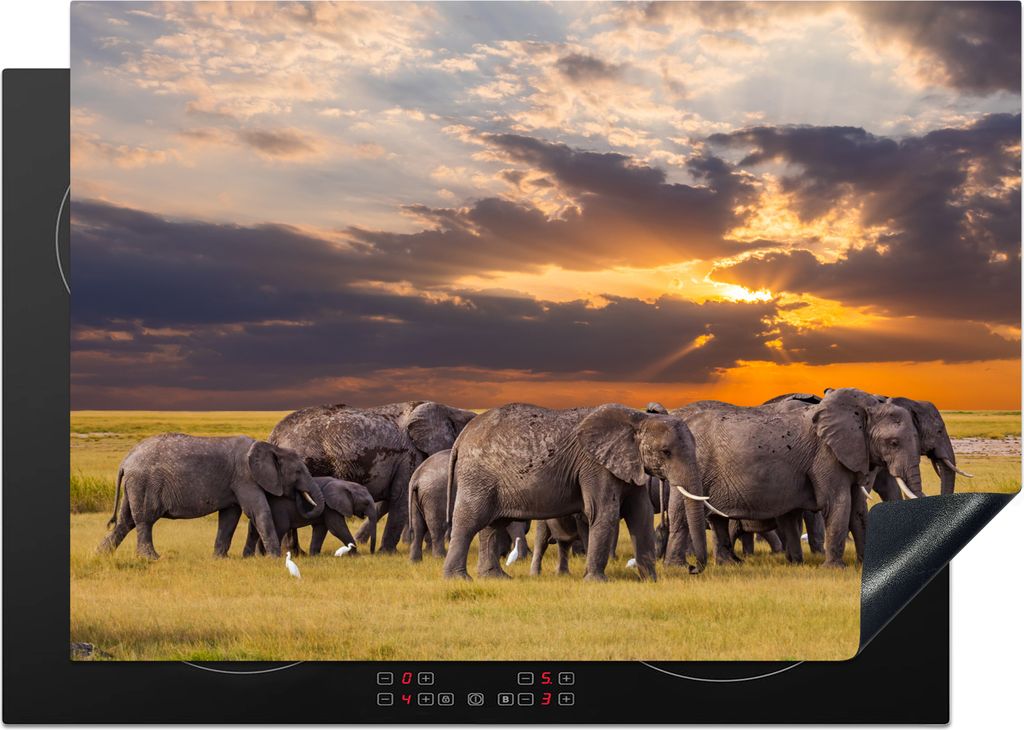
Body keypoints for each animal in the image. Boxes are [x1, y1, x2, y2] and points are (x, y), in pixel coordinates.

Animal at [97, 435, 324, 559]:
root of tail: (125, 461)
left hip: (134, 485)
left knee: (125, 522)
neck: (272, 447)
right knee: (144, 520)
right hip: (144, 483)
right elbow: (258, 511)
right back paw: (152, 558)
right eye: (298, 472)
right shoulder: (245, 477)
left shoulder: (234, 483)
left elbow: (230, 517)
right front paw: (275, 558)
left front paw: (220, 558)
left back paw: (100, 555)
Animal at [243, 477, 378, 557]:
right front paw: (356, 555)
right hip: (279, 510)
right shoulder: (330, 506)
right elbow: (336, 528)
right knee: (280, 528)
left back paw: (261, 556)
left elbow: (321, 529)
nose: (372, 553)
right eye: (366, 503)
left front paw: (314, 556)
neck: (345, 484)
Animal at [268, 401, 476, 553]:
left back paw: (296, 553)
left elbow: (385, 503)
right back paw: (295, 553)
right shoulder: (410, 455)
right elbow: (400, 499)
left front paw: (362, 542)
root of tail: (274, 435)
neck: (449, 409)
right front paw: (388, 553)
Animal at [442, 403, 716, 582]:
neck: (637, 419)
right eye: (666, 452)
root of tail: (462, 437)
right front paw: (596, 581)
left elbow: (641, 515)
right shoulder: (594, 464)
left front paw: (650, 580)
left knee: (493, 524)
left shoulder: (629, 464)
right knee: (470, 520)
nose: (693, 568)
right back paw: (458, 579)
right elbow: (604, 512)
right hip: (477, 475)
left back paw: (496, 578)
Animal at [670, 388, 923, 568]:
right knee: (685, 513)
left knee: (717, 519)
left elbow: (858, 509)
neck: (865, 407)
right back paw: (682, 567)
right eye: (893, 443)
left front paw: (865, 565)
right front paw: (834, 569)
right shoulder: (825, 455)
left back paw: (729, 564)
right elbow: (837, 503)